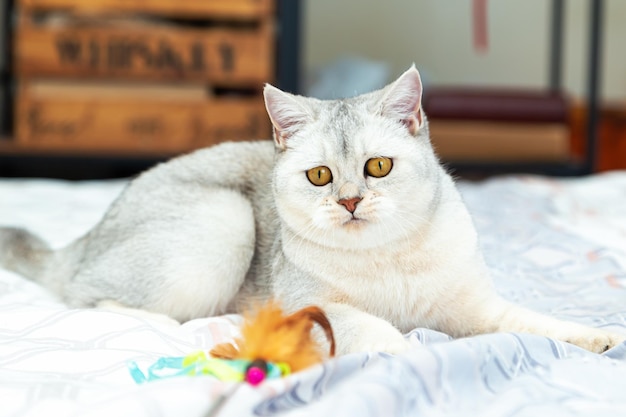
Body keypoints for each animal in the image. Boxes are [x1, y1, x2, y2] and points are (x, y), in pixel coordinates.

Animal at [0, 66, 620, 354]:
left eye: (378, 167)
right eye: (320, 176)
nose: (349, 200)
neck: (388, 257)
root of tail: (85, 239)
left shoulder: (477, 311)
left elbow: (535, 324)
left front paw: (600, 340)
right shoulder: (318, 310)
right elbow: (382, 332)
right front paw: (412, 355)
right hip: (223, 223)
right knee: (92, 299)